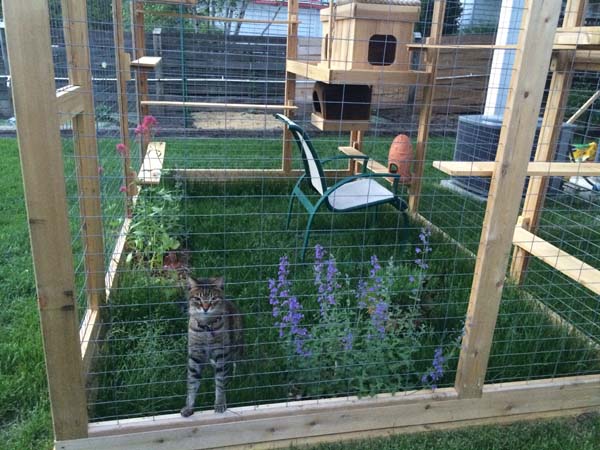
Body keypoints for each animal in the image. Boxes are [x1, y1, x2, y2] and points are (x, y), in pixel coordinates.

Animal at [180, 276, 244, 416]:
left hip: (236, 345)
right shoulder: (195, 355)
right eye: (197, 299)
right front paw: (188, 407)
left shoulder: (221, 354)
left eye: (213, 298)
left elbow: (220, 382)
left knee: (235, 364)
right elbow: (192, 382)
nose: (205, 308)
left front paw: (220, 404)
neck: (206, 327)